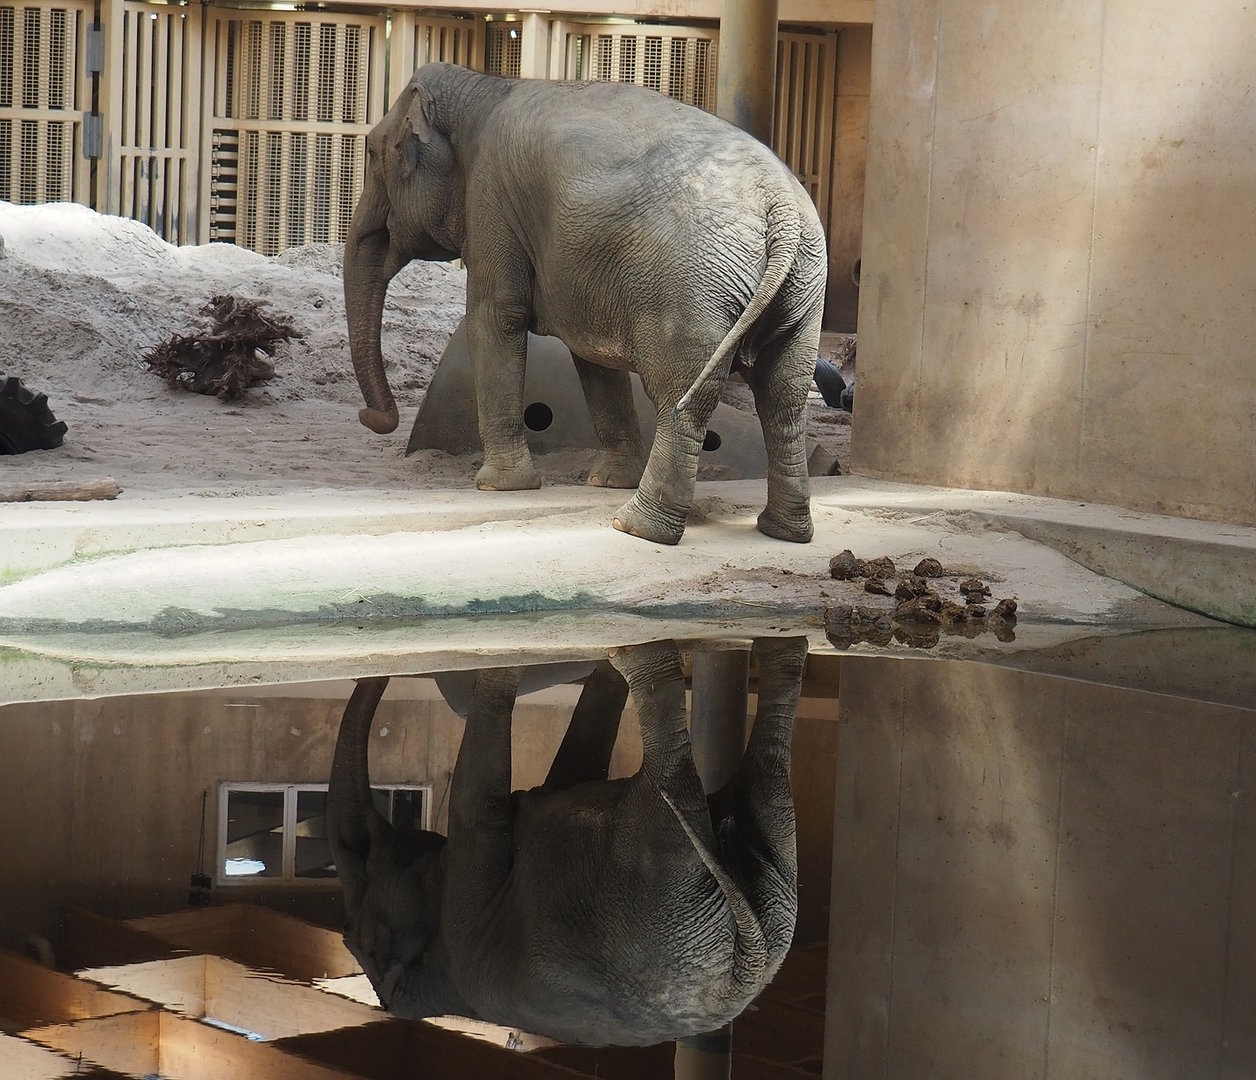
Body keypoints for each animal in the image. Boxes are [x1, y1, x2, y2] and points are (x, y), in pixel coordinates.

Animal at [326, 637, 808, 1046]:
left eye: (373, 862)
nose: (371, 676)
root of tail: (746, 965)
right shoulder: (468, 905)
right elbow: (479, 802)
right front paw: (502, 668)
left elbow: (578, 761)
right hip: (654, 884)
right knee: (674, 778)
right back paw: (642, 659)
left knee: (766, 779)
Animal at [344, 62, 827, 545]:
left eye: (372, 153)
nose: (373, 416)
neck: (486, 86)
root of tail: (781, 206)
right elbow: (591, 358)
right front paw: (609, 481)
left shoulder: (492, 202)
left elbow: (496, 318)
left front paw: (498, 486)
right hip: (803, 288)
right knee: (784, 398)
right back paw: (783, 531)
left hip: (695, 286)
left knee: (683, 394)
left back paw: (636, 527)